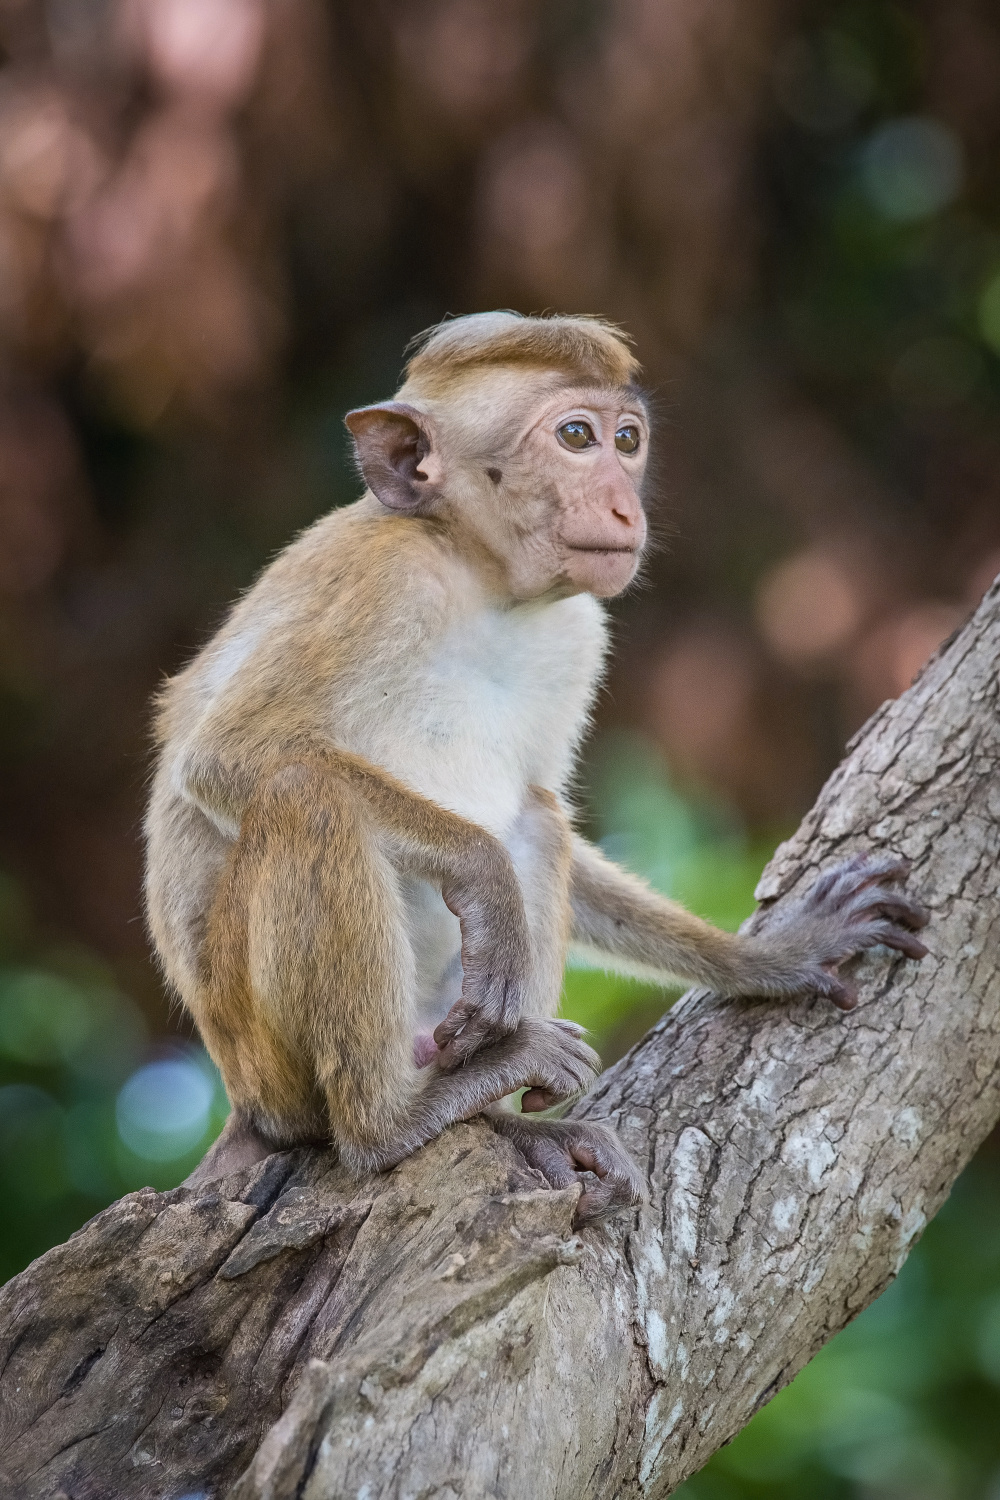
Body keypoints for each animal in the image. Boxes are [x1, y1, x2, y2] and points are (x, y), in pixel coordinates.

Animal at [142, 310, 929, 1224]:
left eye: (627, 440)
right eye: (576, 437)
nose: (624, 503)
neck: (480, 582)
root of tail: (244, 1103)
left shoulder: (579, 630)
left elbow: (539, 802)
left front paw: (773, 956)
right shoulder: (379, 579)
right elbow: (232, 754)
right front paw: (484, 880)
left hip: (432, 1025)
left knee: (534, 820)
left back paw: (506, 1119)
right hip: (268, 1058)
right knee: (308, 795)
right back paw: (391, 1122)